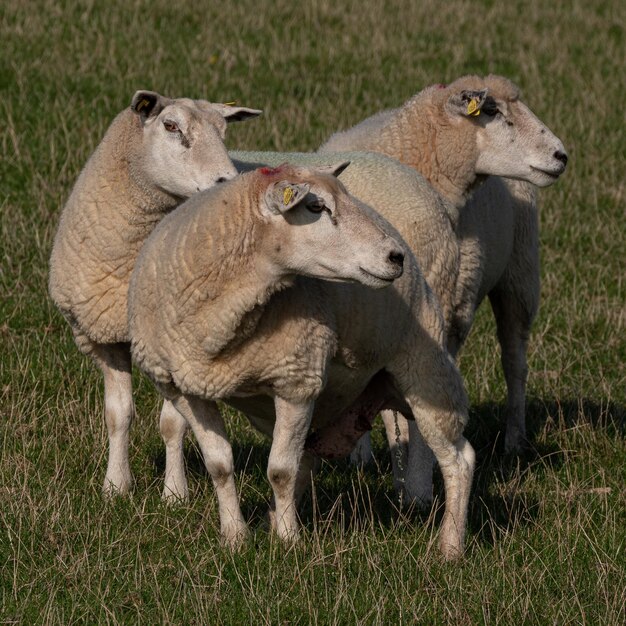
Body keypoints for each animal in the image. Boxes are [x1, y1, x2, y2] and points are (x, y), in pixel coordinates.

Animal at [48, 90, 260, 494]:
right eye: (171, 126)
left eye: (223, 132)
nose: (226, 182)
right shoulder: (103, 338)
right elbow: (118, 414)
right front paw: (115, 487)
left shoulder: (177, 346)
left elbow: (173, 423)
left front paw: (174, 493)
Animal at [130, 161, 472, 556]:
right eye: (315, 206)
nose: (394, 256)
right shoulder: (187, 389)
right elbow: (220, 465)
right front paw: (235, 537)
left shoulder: (296, 383)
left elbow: (281, 470)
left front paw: (287, 541)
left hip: (424, 367)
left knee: (459, 459)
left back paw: (450, 547)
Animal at [320, 72, 568, 482]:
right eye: (492, 110)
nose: (561, 156)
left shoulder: (450, 312)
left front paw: (416, 469)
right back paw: (361, 454)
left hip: (518, 275)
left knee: (514, 362)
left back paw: (515, 440)